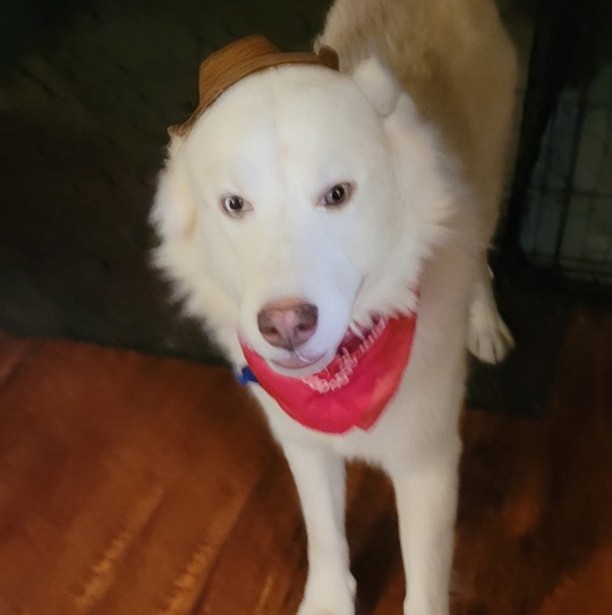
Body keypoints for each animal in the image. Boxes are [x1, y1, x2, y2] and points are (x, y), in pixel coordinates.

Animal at [149, 2, 516, 612]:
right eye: (234, 204)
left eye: (338, 194)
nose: (285, 325)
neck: (344, 379)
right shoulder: (303, 443)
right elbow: (324, 534)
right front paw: (328, 598)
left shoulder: (429, 462)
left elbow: (425, 580)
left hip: (489, 189)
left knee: (484, 259)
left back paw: (484, 322)